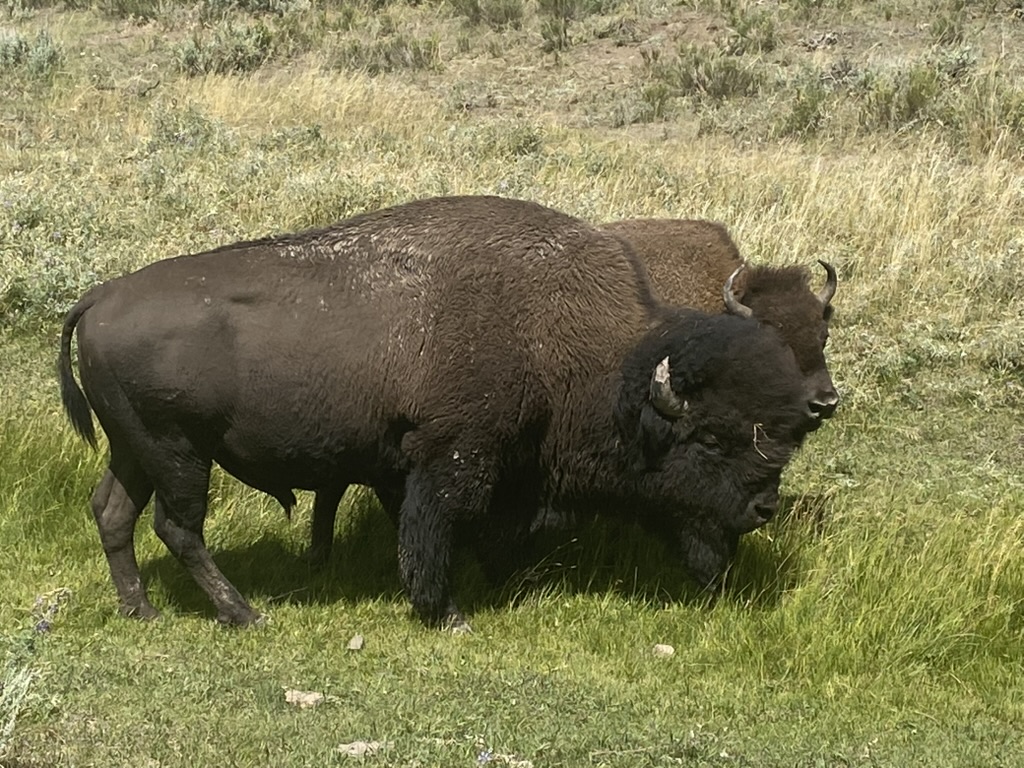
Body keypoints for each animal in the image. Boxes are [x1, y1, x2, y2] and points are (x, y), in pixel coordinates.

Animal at [59, 195, 818, 631]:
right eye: (712, 439)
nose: (764, 507)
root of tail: (97, 297)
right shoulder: (453, 458)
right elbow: (437, 531)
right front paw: (447, 612)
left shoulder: (419, 467)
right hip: (178, 452)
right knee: (177, 527)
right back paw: (242, 614)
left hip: (135, 450)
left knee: (113, 512)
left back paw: (142, 611)